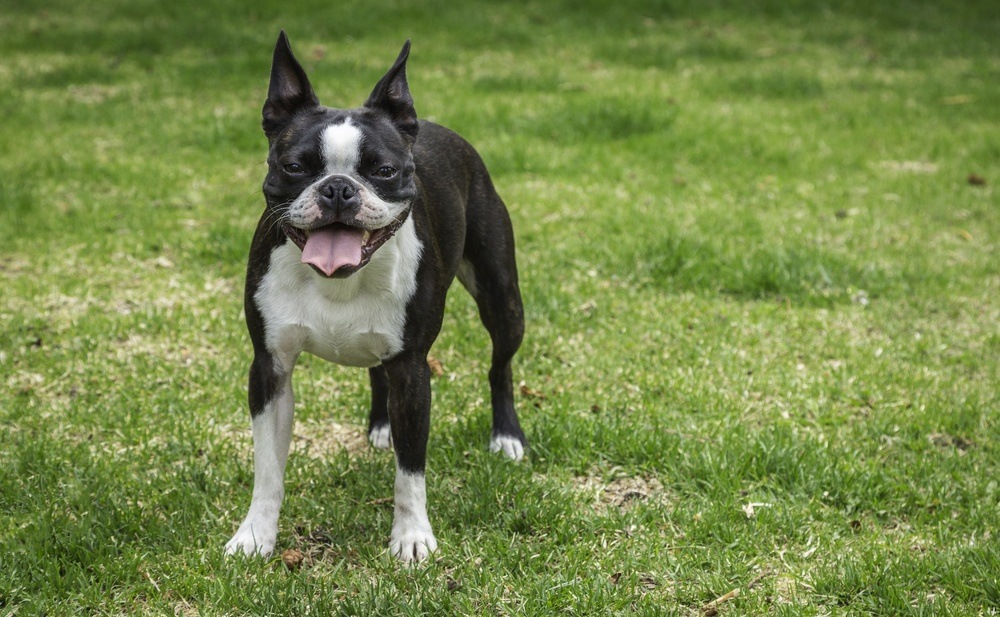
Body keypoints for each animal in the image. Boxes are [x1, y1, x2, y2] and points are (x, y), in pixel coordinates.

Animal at [224, 33, 528, 560]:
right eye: (294, 167)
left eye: (384, 170)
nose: (338, 189)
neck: (340, 278)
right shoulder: (270, 368)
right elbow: (267, 468)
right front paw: (256, 535)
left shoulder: (413, 368)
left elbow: (411, 470)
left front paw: (412, 538)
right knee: (375, 371)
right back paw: (382, 426)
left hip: (503, 299)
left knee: (500, 366)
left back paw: (506, 435)